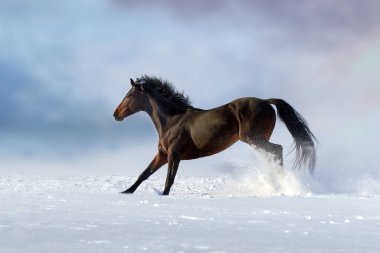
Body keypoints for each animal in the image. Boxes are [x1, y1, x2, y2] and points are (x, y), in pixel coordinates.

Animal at [114, 75, 316, 196]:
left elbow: (169, 179)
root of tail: (266, 101)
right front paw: (126, 192)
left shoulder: (174, 154)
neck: (172, 120)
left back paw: (283, 184)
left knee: (277, 149)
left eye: (129, 94)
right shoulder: (162, 154)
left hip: (252, 138)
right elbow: (144, 174)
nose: (116, 114)